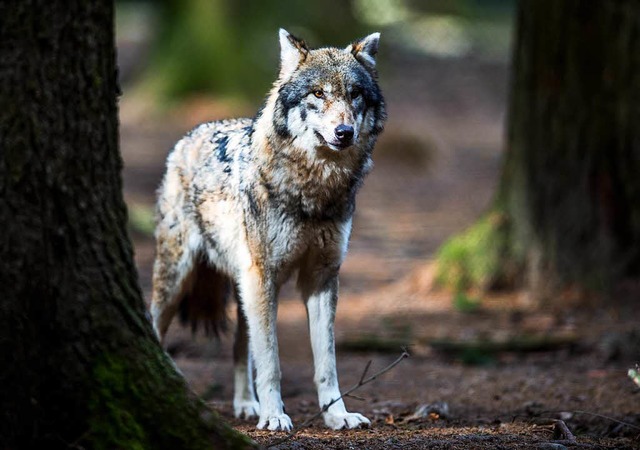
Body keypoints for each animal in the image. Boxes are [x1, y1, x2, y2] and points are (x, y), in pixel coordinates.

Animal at [151, 29, 384, 432]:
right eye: (318, 93)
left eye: (354, 94)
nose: (344, 132)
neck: (313, 191)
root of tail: (190, 135)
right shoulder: (264, 277)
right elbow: (271, 361)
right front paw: (275, 415)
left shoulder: (321, 278)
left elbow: (327, 363)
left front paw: (337, 415)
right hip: (180, 280)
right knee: (154, 326)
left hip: (244, 287)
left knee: (239, 347)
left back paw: (247, 405)